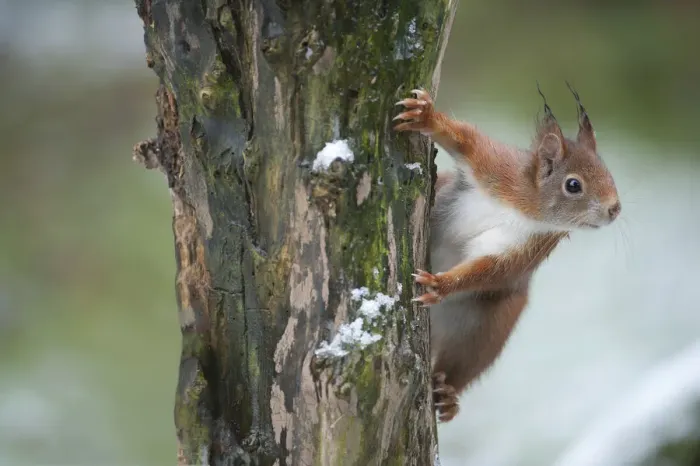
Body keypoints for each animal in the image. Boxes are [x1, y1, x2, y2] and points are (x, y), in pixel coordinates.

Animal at [393, 84, 621, 422]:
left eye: (608, 172)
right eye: (573, 185)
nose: (615, 209)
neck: (528, 207)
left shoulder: (526, 246)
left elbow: (491, 269)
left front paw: (440, 284)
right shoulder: (496, 168)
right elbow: (466, 140)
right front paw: (426, 116)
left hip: (489, 325)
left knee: (463, 364)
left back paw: (448, 395)